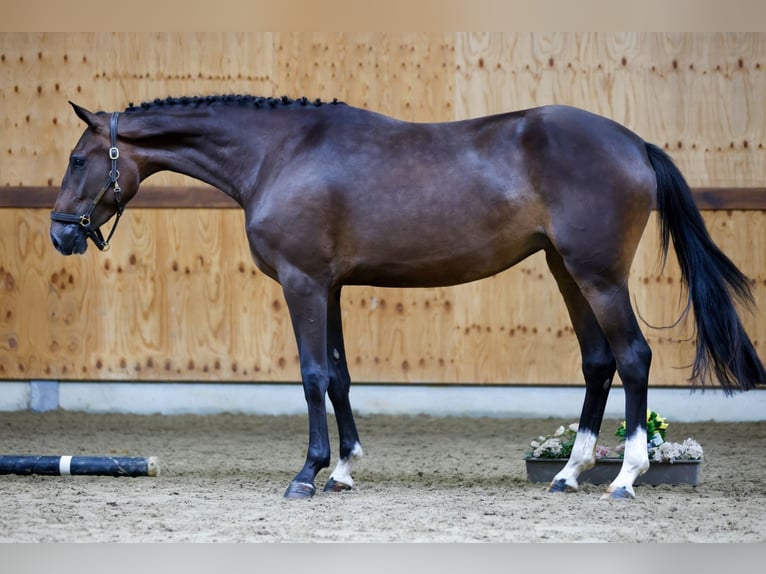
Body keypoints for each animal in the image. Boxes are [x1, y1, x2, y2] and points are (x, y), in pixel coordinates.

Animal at [51, 94, 764, 500]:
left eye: (80, 160)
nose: (61, 232)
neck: (281, 153)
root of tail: (634, 142)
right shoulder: (330, 285)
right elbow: (338, 376)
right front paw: (343, 469)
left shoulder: (303, 283)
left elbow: (312, 377)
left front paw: (308, 474)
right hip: (568, 272)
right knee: (598, 362)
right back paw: (568, 474)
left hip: (599, 275)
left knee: (634, 357)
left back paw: (624, 478)